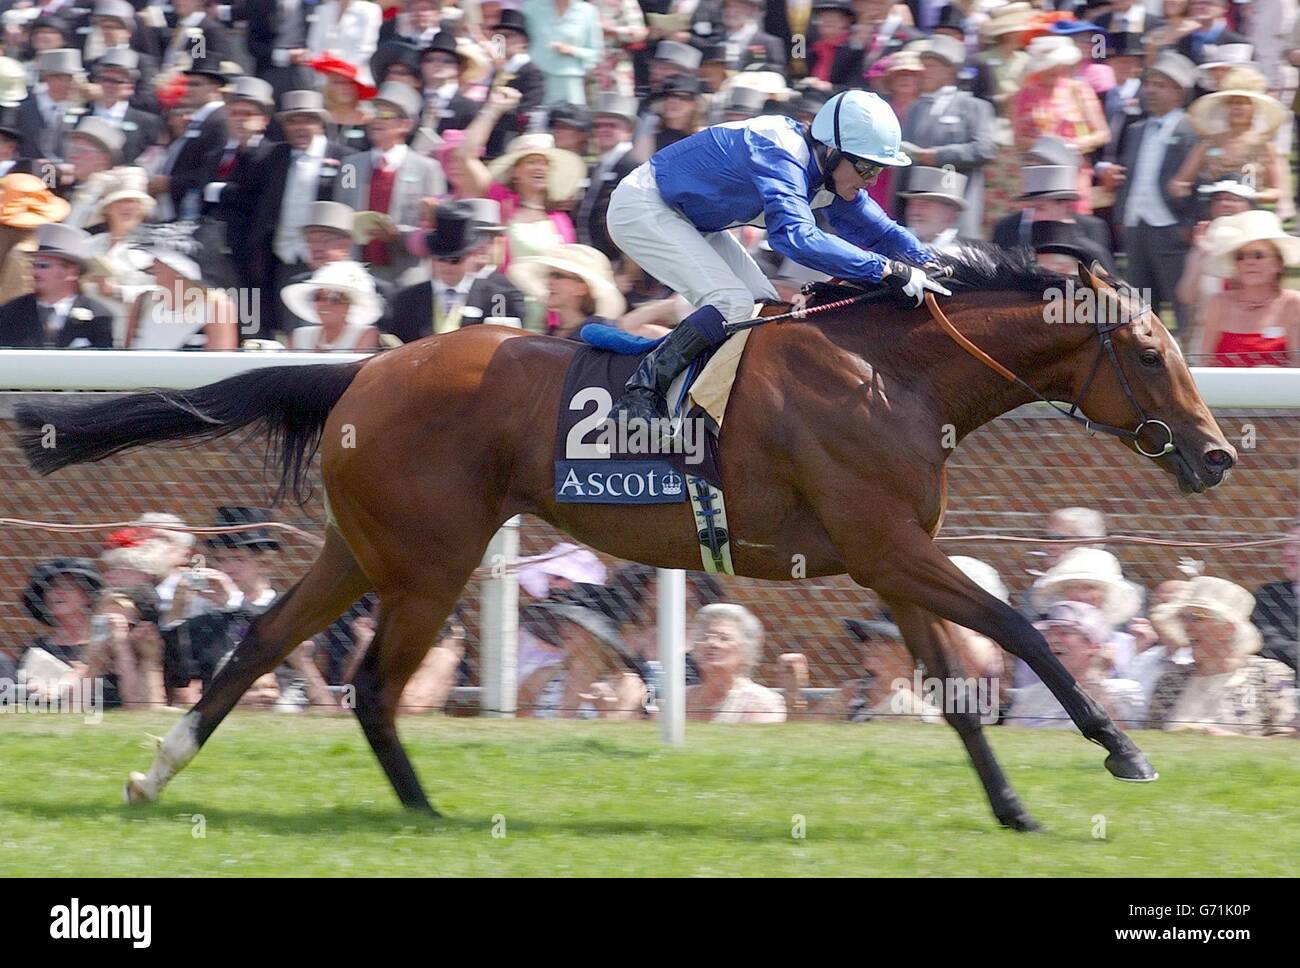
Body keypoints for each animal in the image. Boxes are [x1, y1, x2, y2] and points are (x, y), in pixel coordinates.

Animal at [20, 249, 1237, 831]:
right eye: (1146, 351)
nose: (1218, 453)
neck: (894, 371)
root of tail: (362, 368)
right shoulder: (892, 550)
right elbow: (1020, 632)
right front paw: (1121, 749)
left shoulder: (890, 561)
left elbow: (956, 689)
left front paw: (1014, 807)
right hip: (429, 559)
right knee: (368, 683)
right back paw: (426, 816)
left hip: (362, 550)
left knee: (264, 642)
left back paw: (158, 773)